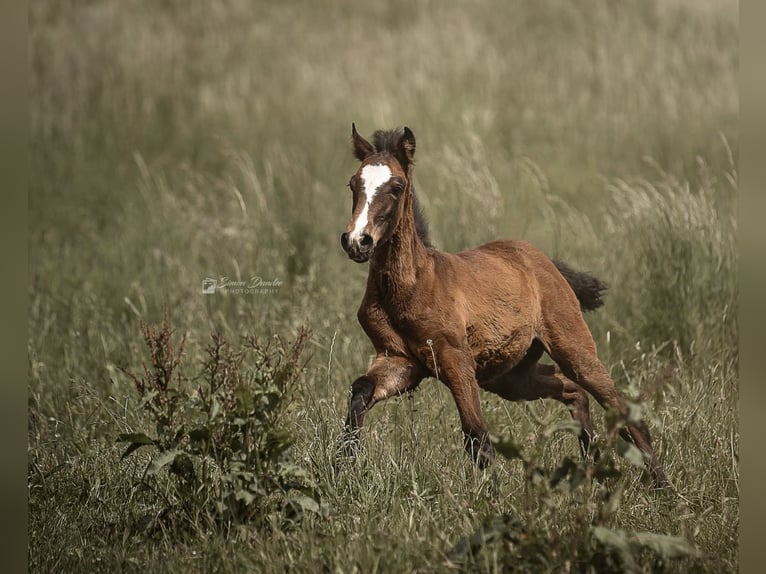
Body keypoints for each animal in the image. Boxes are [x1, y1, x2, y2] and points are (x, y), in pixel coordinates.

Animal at [339, 124, 667, 487]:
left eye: (396, 187)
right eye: (353, 184)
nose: (357, 241)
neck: (412, 285)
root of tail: (545, 261)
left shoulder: (455, 358)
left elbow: (477, 436)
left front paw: (486, 496)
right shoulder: (400, 361)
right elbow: (360, 391)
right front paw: (342, 469)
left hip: (573, 348)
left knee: (621, 410)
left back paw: (662, 486)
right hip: (511, 377)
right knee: (572, 391)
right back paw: (589, 468)